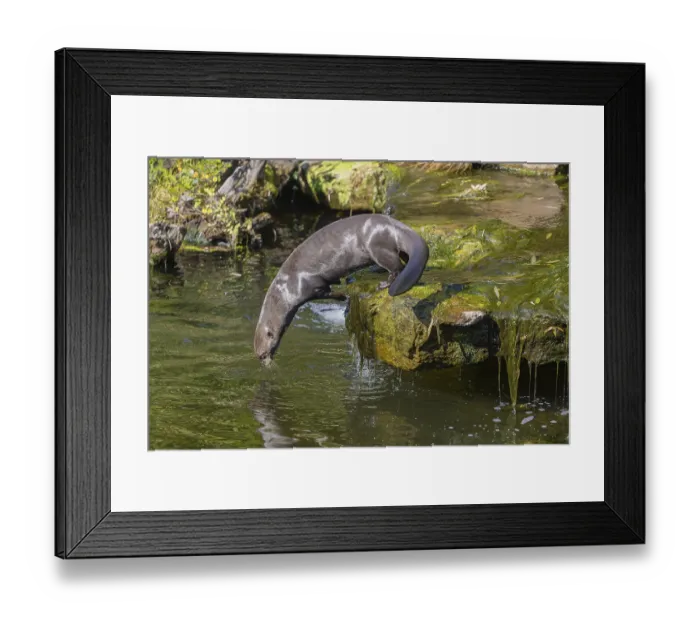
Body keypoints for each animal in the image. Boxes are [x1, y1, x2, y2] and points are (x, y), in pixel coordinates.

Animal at [254, 214, 429, 365]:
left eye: (264, 351)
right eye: (257, 353)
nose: (261, 359)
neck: (286, 290)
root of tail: (394, 226)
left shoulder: (310, 286)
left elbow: (328, 292)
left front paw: (343, 296)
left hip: (378, 247)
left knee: (397, 267)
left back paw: (385, 284)